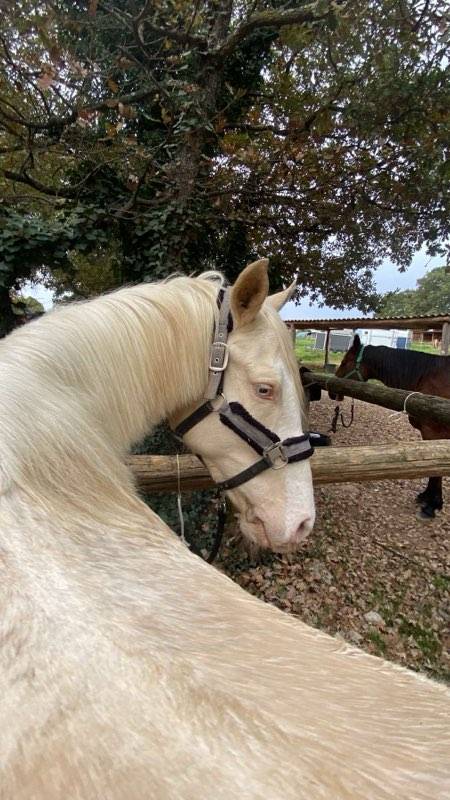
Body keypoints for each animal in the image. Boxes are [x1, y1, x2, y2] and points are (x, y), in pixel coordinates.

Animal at [334, 334, 450, 519]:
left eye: (345, 362)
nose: (332, 392)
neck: (426, 376)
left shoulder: (434, 434)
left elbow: (436, 470)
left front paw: (432, 505)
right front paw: (426, 497)